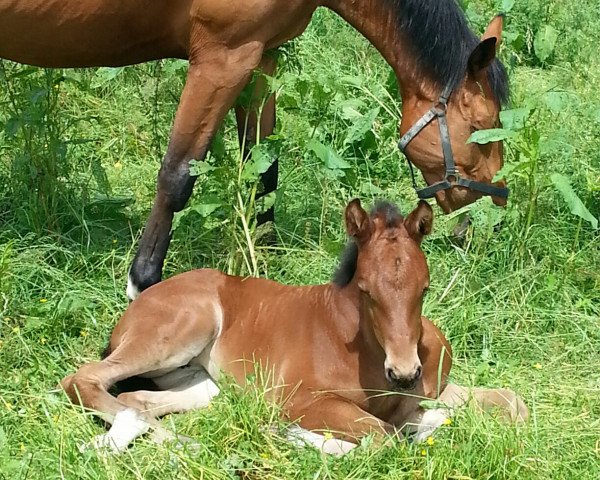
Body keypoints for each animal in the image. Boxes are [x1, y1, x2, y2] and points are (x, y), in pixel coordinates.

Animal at [0, 1, 510, 298]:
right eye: (481, 128)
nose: (494, 213)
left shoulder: (260, 54)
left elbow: (263, 169)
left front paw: (261, 260)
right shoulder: (222, 57)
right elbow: (178, 173)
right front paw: (142, 280)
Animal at [61, 201, 528, 456]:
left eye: (425, 288)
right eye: (365, 290)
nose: (404, 372)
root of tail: (140, 300)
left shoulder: (433, 390)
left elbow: (512, 402)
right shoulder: (303, 399)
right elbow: (381, 436)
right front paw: (298, 436)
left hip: (204, 382)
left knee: (138, 399)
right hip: (176, 332)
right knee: (84, 380)